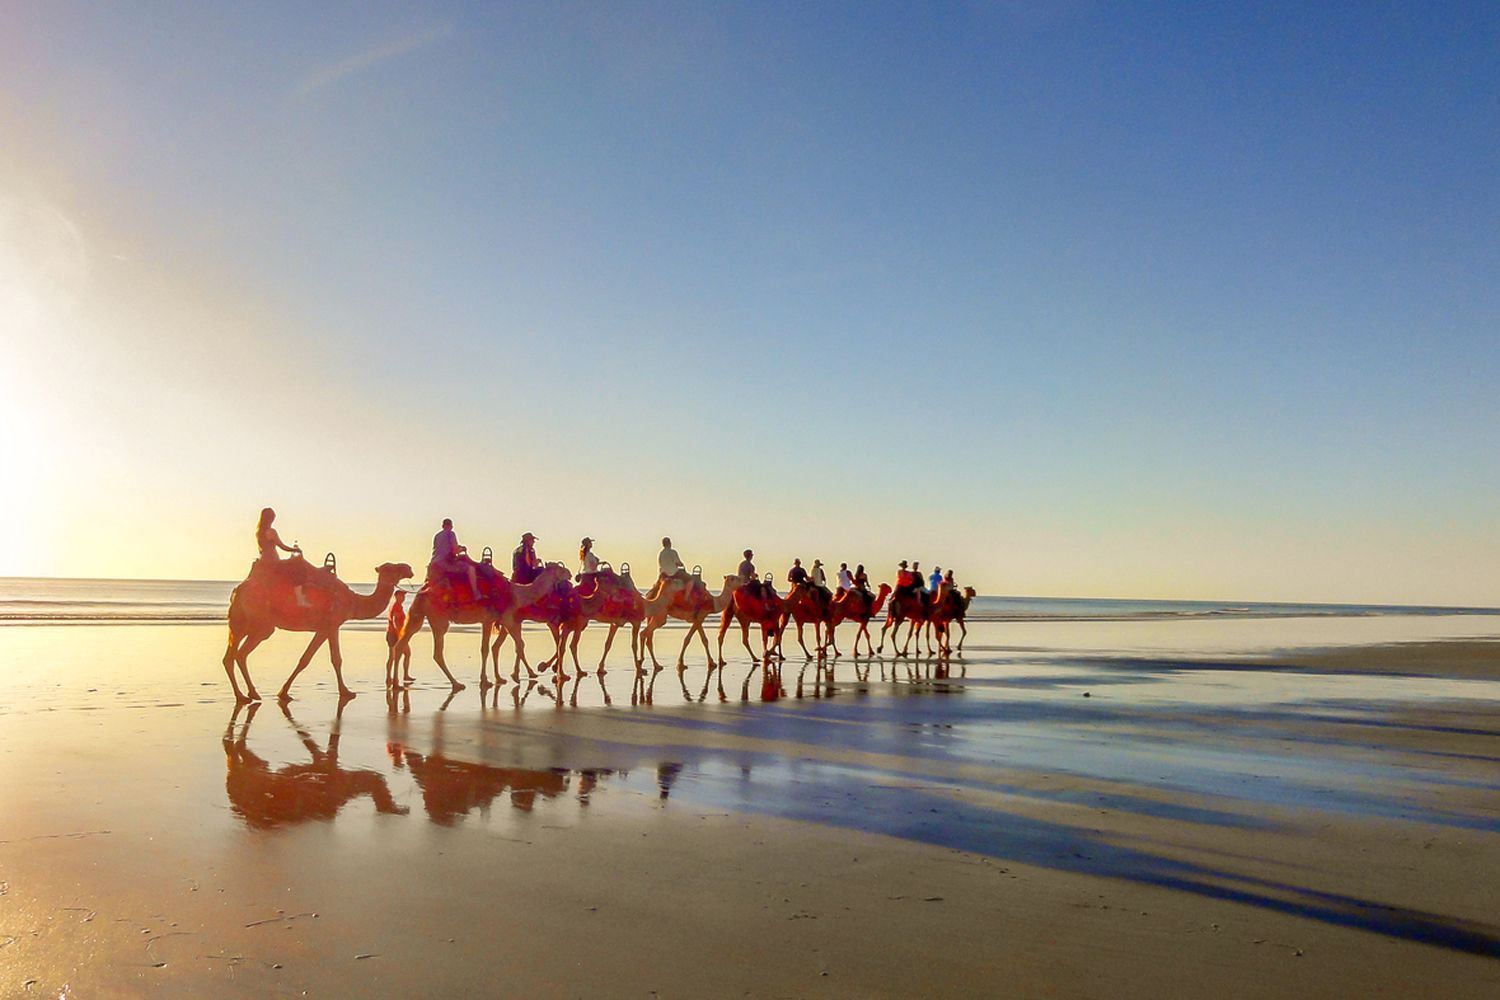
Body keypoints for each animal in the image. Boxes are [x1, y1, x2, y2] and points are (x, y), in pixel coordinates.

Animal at [223, 558, 413, 702]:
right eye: (392, 567)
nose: (409, 568)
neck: (353, 601)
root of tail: (237, 590)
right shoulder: (331, 625)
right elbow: (328, 659)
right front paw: (346, 692)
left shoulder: (325, 628)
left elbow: (311, 659)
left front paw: (283, 693)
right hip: (258, 625)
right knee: (234, 655)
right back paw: (242, 696)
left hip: (244, 624)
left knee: (236, 655)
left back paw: (251, 694)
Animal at [398, 562, 571, 689]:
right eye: (560, 568)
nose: (570, 573)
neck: (518, 593)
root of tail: (422, 591)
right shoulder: (507, 619)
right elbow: (517, 646)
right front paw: (531, 673)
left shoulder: (490, 621)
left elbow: (489, 648)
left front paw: (495, 678)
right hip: (439, 619)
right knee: (437, 653)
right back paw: (456, 683)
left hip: (418, 616)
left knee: (402, 643)